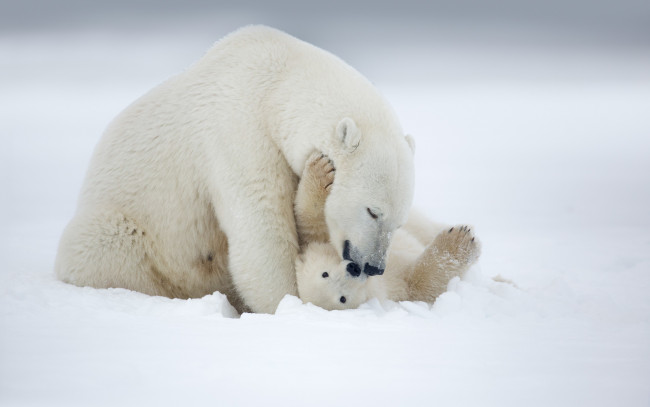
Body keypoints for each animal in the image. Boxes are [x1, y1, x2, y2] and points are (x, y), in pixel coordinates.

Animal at [54, 25, 416, 314]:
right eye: (372, 211)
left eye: (398, 222)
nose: (374, 266)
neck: (277, 83)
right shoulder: (239, 133)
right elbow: (261, 229)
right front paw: (289, 303)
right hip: (126, 230)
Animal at [293, 153, 481, 310]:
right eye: (342, 298)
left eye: (324, 274)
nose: (353, 269)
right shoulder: (395, 287)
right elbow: (422, 283)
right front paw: (459, 241)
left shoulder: (323, 238)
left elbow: (312, 222)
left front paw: (322, 169)